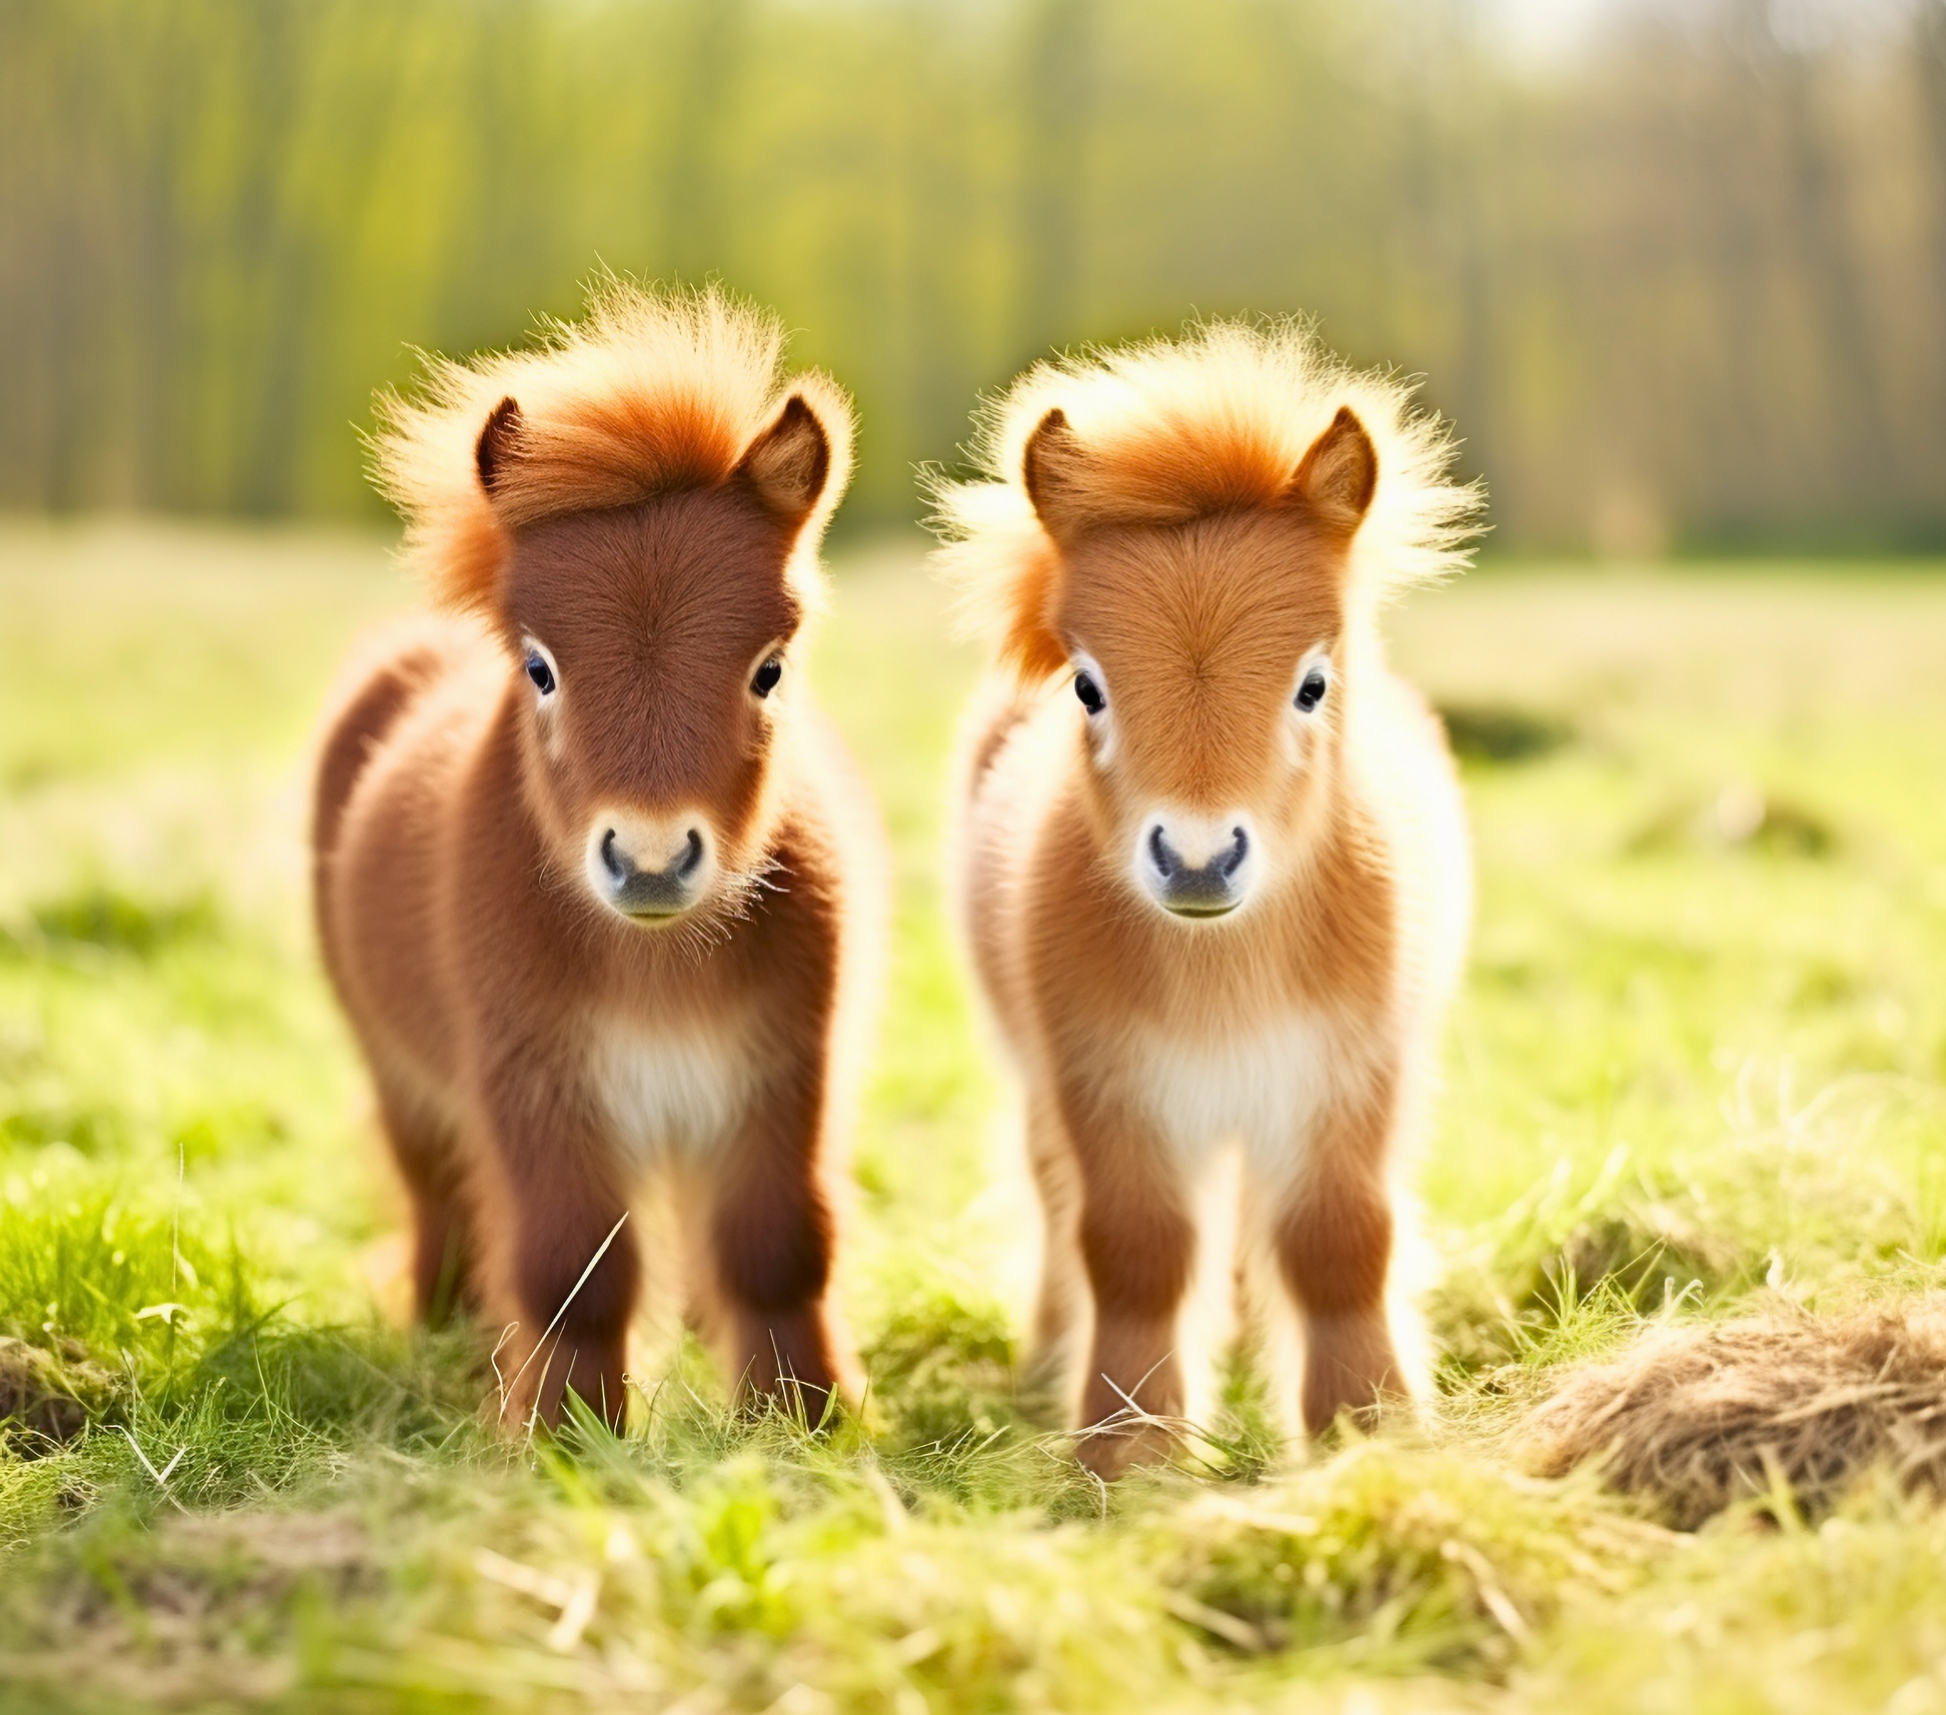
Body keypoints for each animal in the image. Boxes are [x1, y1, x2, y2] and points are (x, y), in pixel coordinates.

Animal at [312, 286, 882, 1431]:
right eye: (539, 666)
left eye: (769, 667)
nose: (652, 862)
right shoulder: (536, 1087)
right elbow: (571, 1268)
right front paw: (566, 1431)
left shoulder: (777, 1075)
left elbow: (777, 1251)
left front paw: (807, 1421)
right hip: (401, 1071)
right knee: (437, 1191)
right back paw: (445, 1333)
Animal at [932, 319, 1481, 1475]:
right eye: (1087, 684)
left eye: (1313, 681)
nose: (1196, 860)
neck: (1225, 967)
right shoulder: (1108, 1080)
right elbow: (1134, 1250)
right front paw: (1126, 1450)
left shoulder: (1347, 1071)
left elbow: (1336, 1241)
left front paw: (1367, 1424)